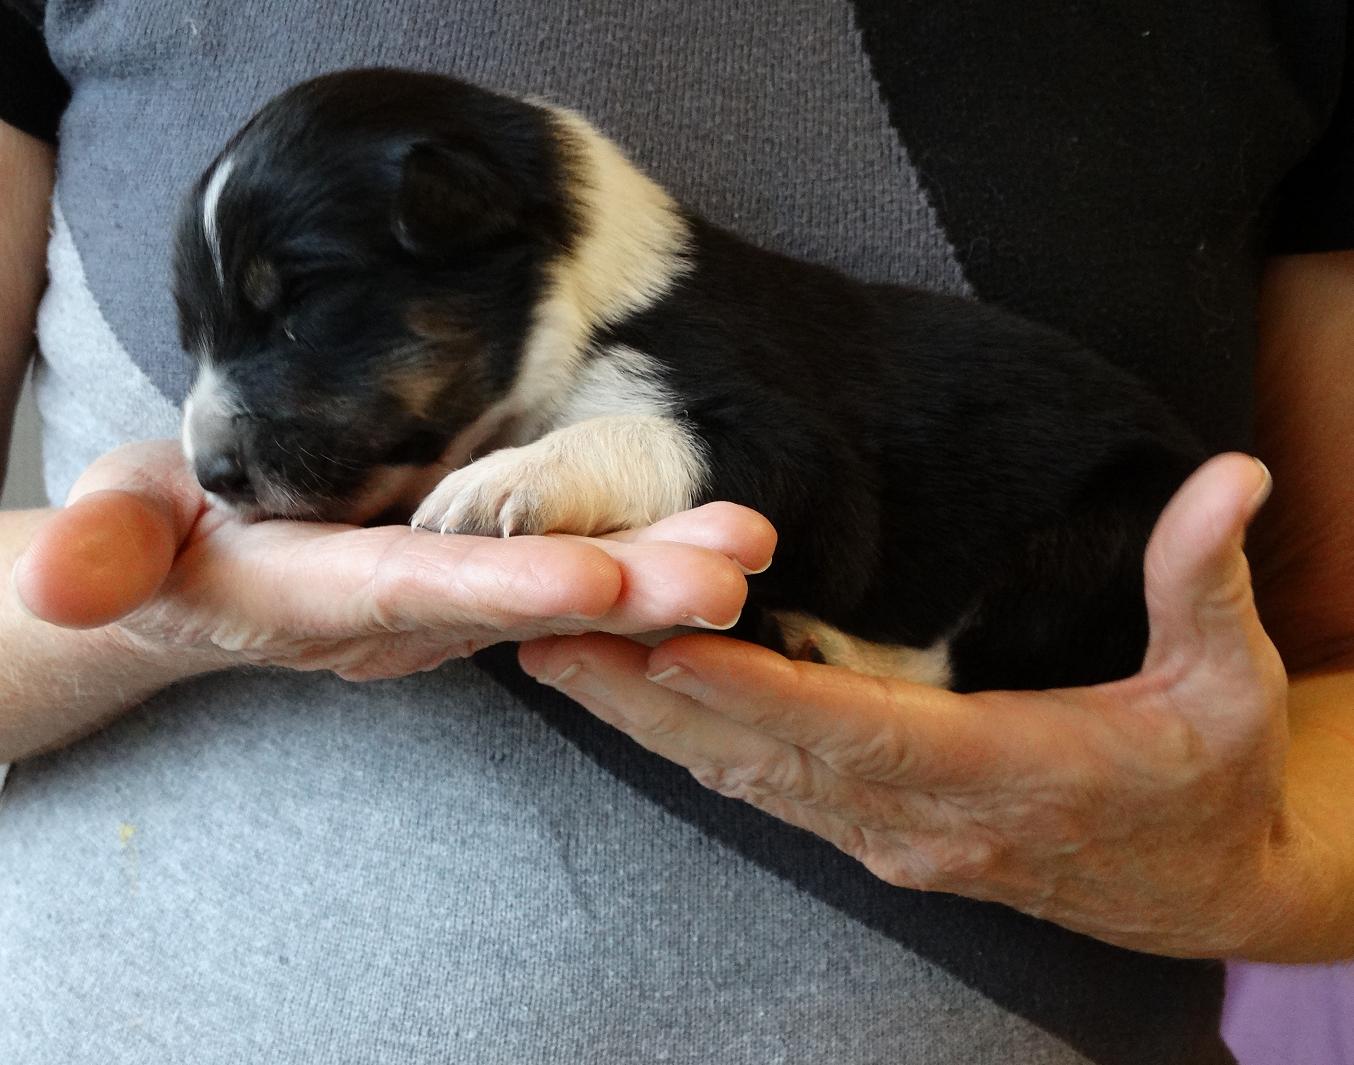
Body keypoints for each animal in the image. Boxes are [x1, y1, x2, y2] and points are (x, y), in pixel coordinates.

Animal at [174, 68, 1205, 693]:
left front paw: (505, 479)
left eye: (302, 306)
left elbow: (659, 433)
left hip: (1107, 534)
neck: (585, 303)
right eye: (192, 333)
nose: (211, 474)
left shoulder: (805, 459)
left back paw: (836, 645)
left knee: (975, 662)